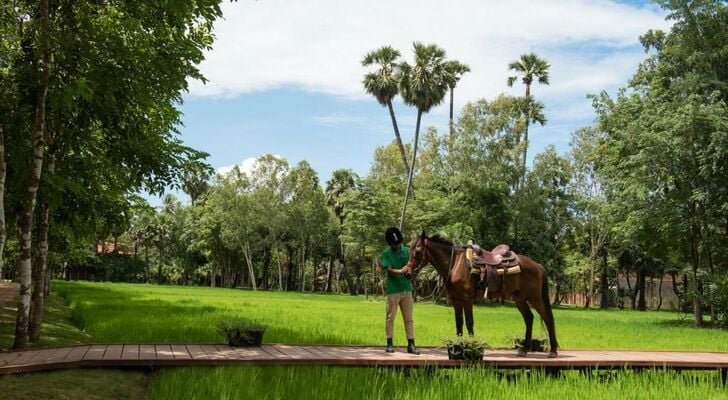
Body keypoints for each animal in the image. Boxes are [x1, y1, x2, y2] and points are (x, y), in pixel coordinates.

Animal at [410, 231, 556, 360]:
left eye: (417, 252)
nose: (408, 272)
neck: (455, 264)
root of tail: (537, 265)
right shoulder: (457, 300)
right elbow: (459, 322)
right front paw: (458, 344)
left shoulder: (467, 299)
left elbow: (469, 322)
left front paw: (471, 346)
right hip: (519, 298)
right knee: (529, 318)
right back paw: (524, 350)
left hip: (535, 298)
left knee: (547, 318)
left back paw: (553, 351)